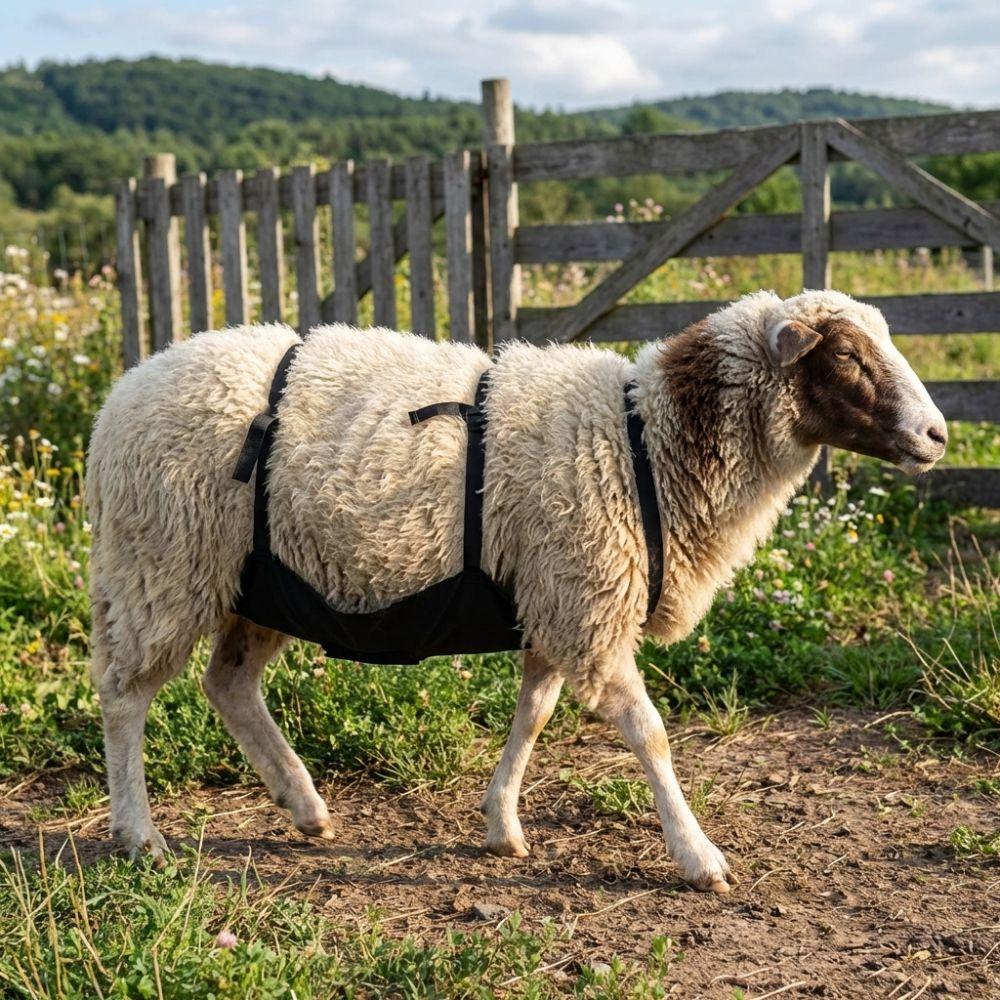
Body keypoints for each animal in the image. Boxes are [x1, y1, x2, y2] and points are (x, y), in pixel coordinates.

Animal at [87, 288, 946, 892]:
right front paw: (698, 856)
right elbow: (649, 734)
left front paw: (501, 823)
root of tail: (122, 394)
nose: (939, 435)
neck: (646, 440)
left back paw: (304, 806)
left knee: (228, 684)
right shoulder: (587, 603)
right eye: (848, 357)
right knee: (126, 697)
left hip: (261, 579)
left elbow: (533, 714)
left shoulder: (558, 598)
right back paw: (140, 836)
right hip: (162, 563)